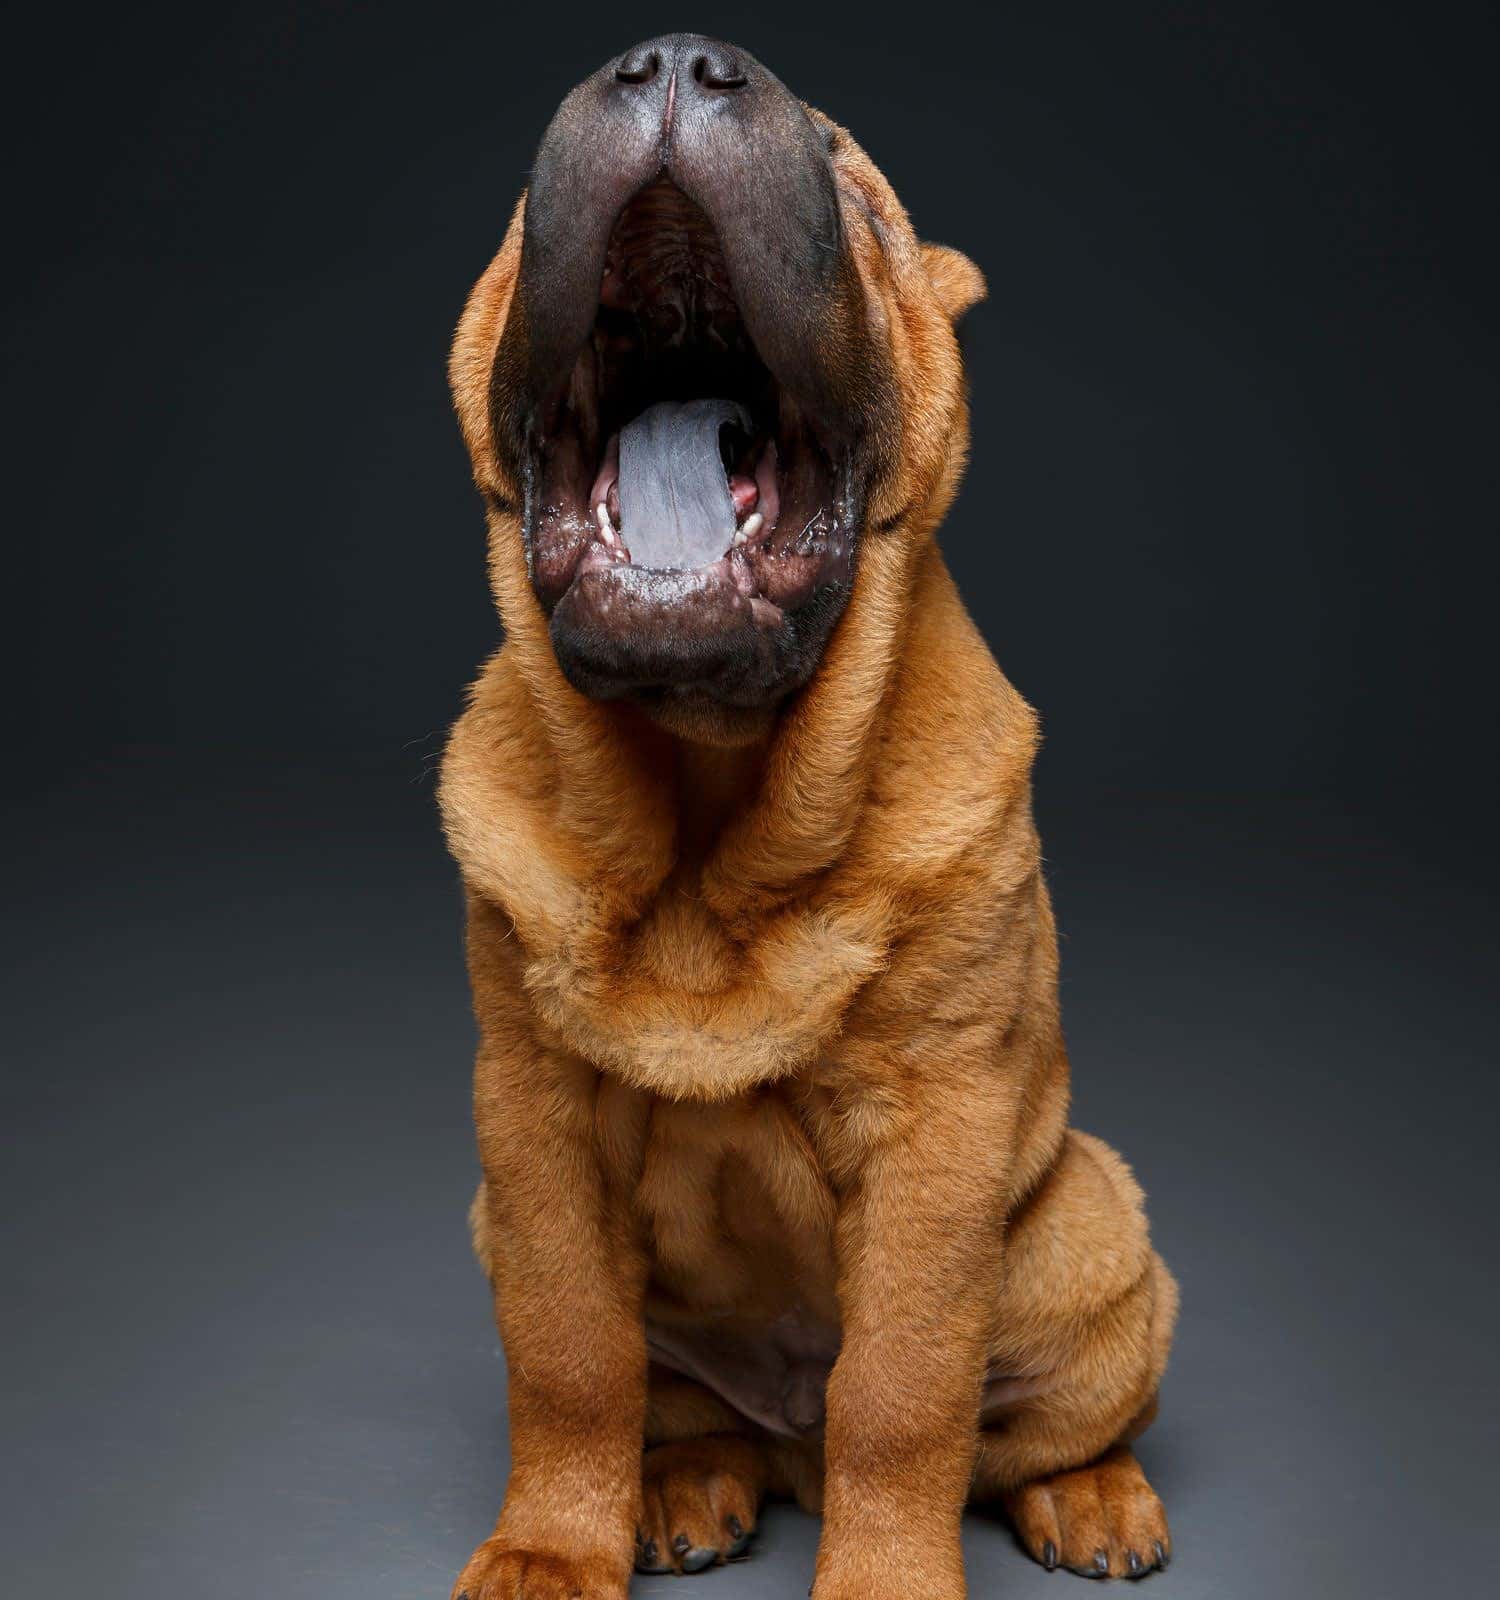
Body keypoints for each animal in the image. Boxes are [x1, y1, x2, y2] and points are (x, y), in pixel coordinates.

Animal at [438, 31, 1176, 1593]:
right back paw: (691, 1483)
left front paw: (884, 1573)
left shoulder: (938, 1128)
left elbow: (903, 1393)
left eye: (856, 192)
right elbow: (568, 1355)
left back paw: (1090, 1496)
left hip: (1092, 1236)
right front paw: (549, 1551)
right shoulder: (529, 1122)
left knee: (1034, 1426)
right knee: (681, 1407)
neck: (708, 805)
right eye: (526, 210)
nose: (671, 56)